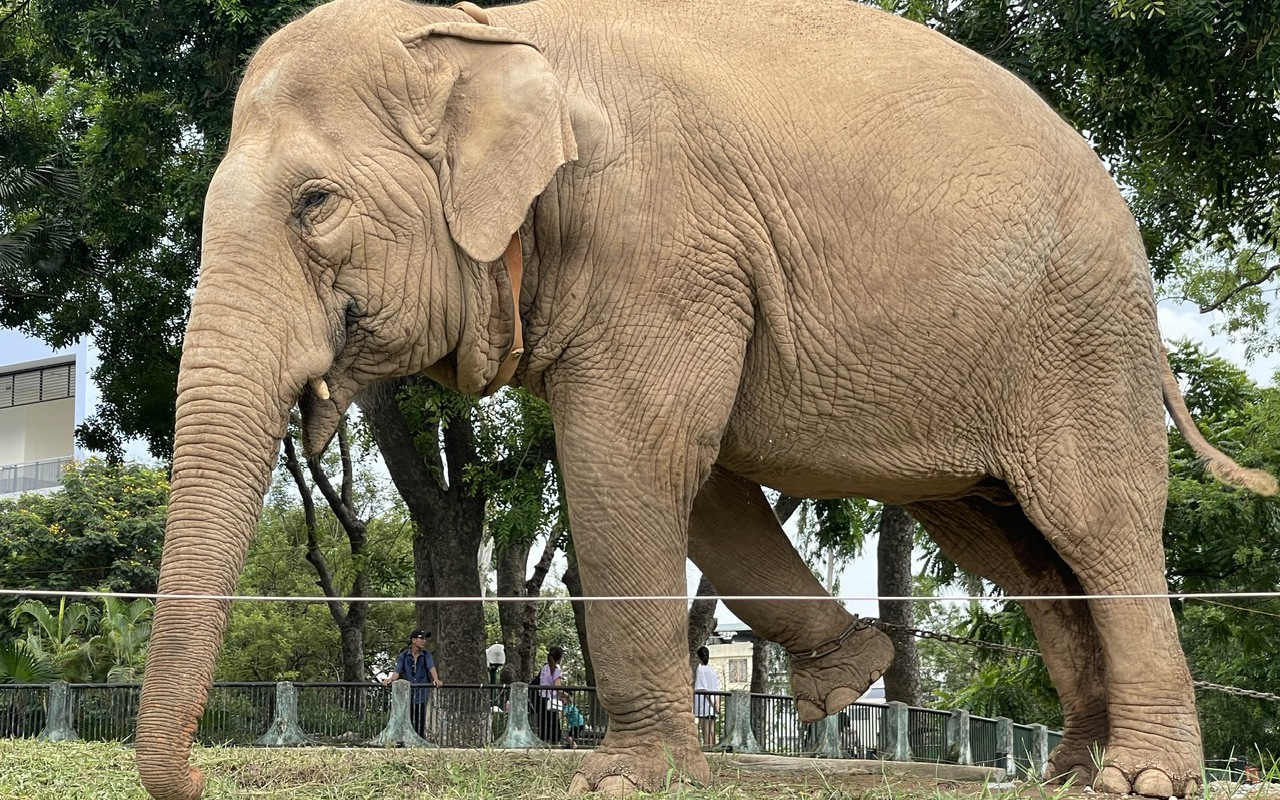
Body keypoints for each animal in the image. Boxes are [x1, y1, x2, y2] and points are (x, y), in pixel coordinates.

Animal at [135, 0, 1274, 793]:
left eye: (314, 203)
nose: (198, 779)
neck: (488, 33)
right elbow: (699, 482)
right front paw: (845, 672)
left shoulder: (656, 241)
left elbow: (632, 459)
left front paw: (621, 780)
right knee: (1020, 550)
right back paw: (1072, 771)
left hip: (1076, 338)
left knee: (1093, 520)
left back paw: (1143, 778)